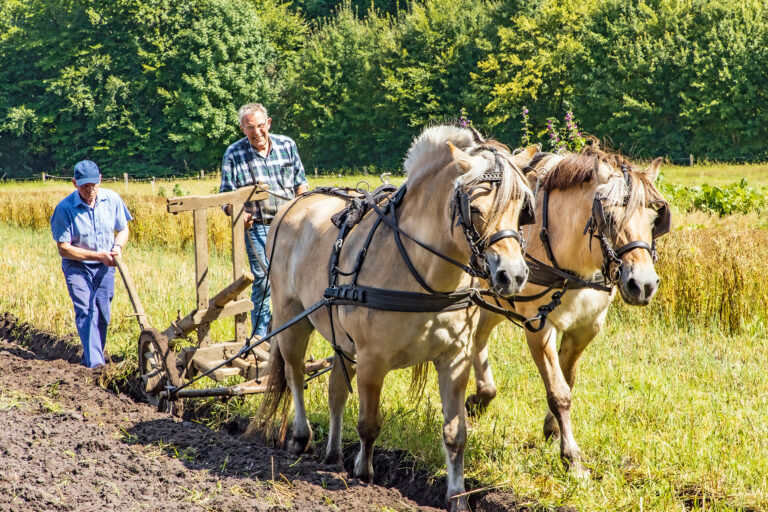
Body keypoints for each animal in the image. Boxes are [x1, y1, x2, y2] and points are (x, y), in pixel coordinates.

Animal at [258, 125, 536, 512]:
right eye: (477, 209)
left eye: (523, 209)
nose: (513, 275)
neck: (422, 272)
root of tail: (292, 204)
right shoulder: (372, 359)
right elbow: (369, 424)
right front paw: (363, 475)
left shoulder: (455, 360)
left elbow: (456, 434)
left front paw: (457, 496)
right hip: (292, 316)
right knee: (295, 373)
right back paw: (301, 437)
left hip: (340, 339)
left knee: (335, 391)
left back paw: (332, 455)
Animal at [464, 146, 668, 478]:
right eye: (609, 217)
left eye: (653, 219)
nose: (644, 284)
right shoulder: (538, 325)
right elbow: (558, 392)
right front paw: (572, 458)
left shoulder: (586, 328)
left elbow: (567, 380)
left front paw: (553, 430)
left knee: (478, 337)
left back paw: (481, 397)